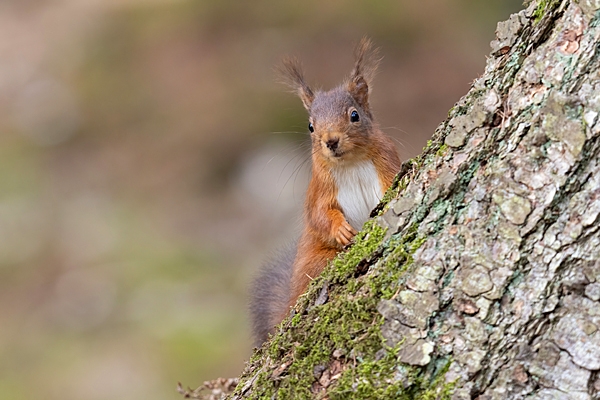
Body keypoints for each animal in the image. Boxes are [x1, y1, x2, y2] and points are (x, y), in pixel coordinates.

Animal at [251, 39, 400, 346]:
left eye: (354, 115)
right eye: (310, 126)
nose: (330, 140)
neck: (350, 163)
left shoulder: (387, 162)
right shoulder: (319, 187)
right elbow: (318, 214)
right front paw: (339, 228)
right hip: (319, 260)